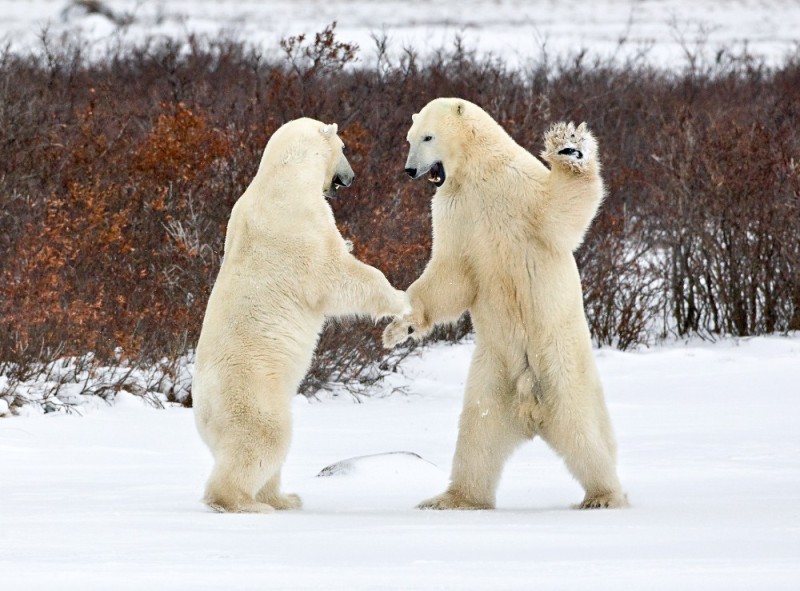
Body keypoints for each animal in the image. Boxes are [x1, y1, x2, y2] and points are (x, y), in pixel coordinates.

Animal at [191, 117, 410, 512]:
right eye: (345, 148)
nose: (351, 177)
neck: (283, 175)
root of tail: (202, 410)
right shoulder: (301, 224)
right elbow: (338, 275)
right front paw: (399, 298)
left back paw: (285, 498)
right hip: (253, 395)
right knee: (263, 440)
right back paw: (243, 502)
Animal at [384, 99, 628, 512]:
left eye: (427, 137)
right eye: (409, 138)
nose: (410, 170)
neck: (476, 173)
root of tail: (531, 413)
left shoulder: (519, 188)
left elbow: (560, 212)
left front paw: (570, 147)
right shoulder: (454, 213)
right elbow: (451, 274)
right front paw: (399, 326)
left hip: (562, 364)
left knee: (583, 430)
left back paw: (603, 496)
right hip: (493, 373)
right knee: (477, 434)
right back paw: (452, 498)